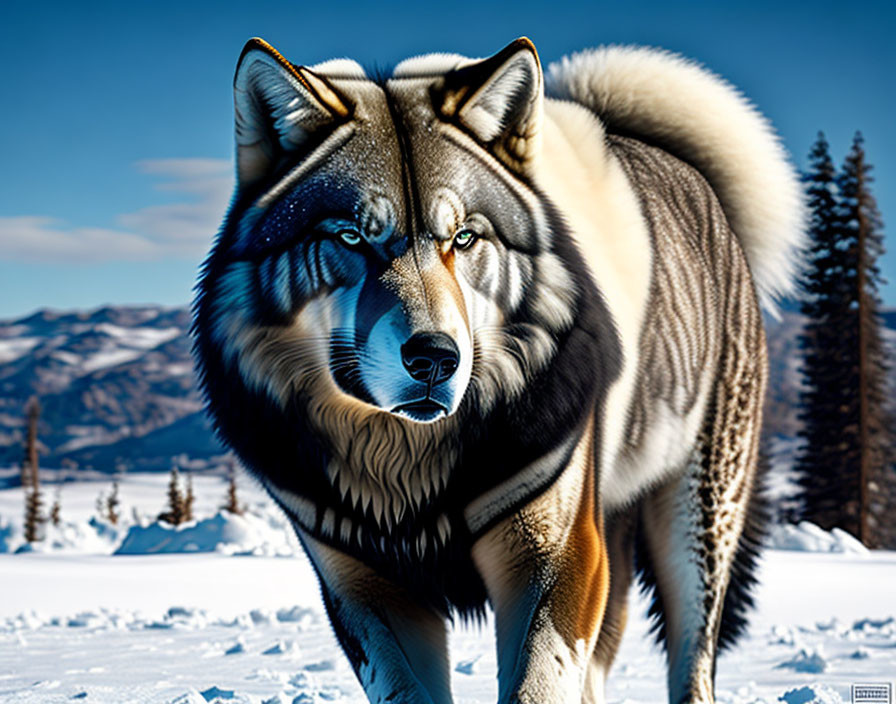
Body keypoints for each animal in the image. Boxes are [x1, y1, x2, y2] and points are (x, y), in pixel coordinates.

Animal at [194, 38, 804, 704]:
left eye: (464, 238)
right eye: (352, 237)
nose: (434, 357)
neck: (408, 474)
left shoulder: (558, 559)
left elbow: (535, 685)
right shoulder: (364, 589)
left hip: (693, 529)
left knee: (693, 661)